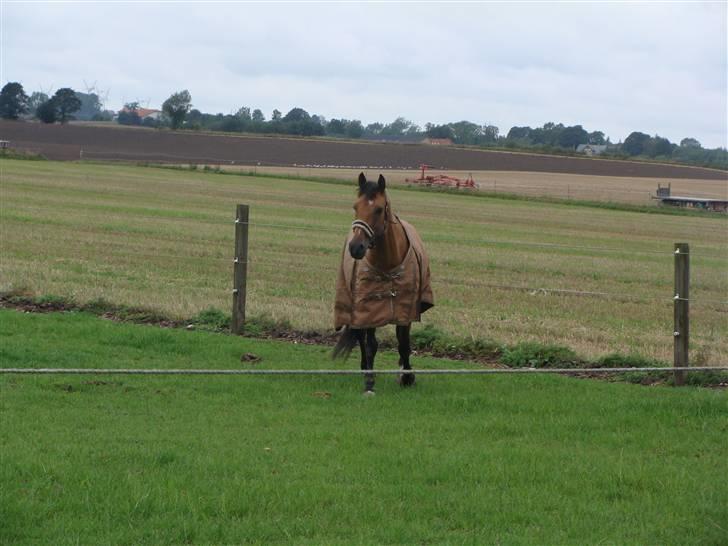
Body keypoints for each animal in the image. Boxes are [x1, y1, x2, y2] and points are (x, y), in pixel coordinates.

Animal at [334, 171, 432, 392]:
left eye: (378, 209)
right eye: (355, 206)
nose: (356, 247)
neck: (388, 264)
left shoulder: (406, 309)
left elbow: (403, 343)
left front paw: (407, 376)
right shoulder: (368, 309)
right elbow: (371, 344)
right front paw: (370, 381)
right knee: (362, 337)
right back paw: (365, 368)